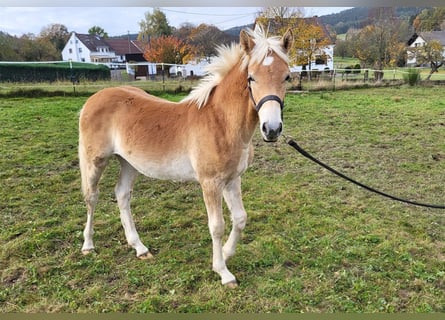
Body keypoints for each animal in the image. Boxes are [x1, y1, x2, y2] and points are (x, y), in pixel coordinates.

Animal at [78, 26, 294, 288]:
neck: (221, 122)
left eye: (287, 77)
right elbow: (217, 226)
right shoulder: (210, 183)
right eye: (251, 77)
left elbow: (240, 218)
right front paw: (223, 272)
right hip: (95, 161)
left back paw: (139, 247)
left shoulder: (232, 179)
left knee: (122, 195)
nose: (271, 129)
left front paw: (226, 253)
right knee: (92, 197)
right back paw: (88, 245)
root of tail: (93, 98)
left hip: (129, 163)